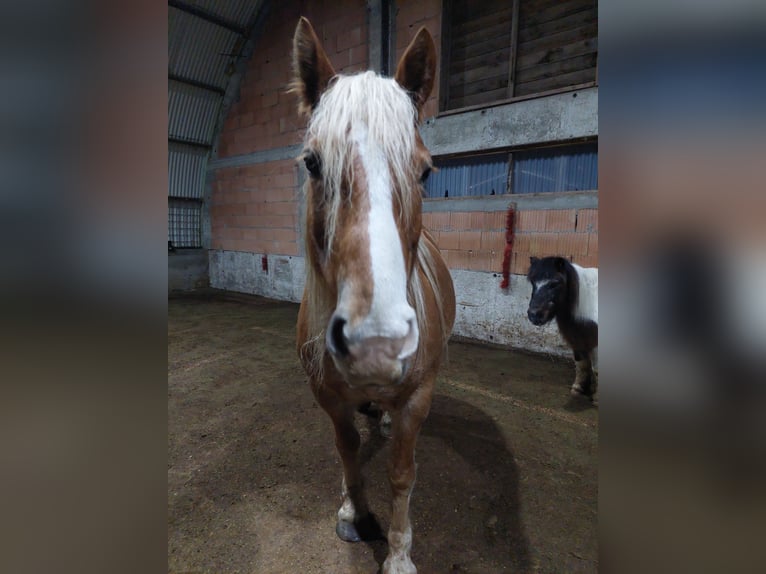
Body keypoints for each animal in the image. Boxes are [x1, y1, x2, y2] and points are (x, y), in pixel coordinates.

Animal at [292, 15, 452, 572]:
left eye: (425, 169)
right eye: (312, 162)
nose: (377, 343)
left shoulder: (417, 398)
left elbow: (402, 475)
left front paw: (399, 554)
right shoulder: (327, 395)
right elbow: (346, 450)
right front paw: (353, 512)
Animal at [528, 256, 600, 404]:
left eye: (555, 283)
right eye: (532, 282)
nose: (534, 315)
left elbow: (596, 369)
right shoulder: (577, 338)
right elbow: (581, 363)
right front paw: (578, 389)